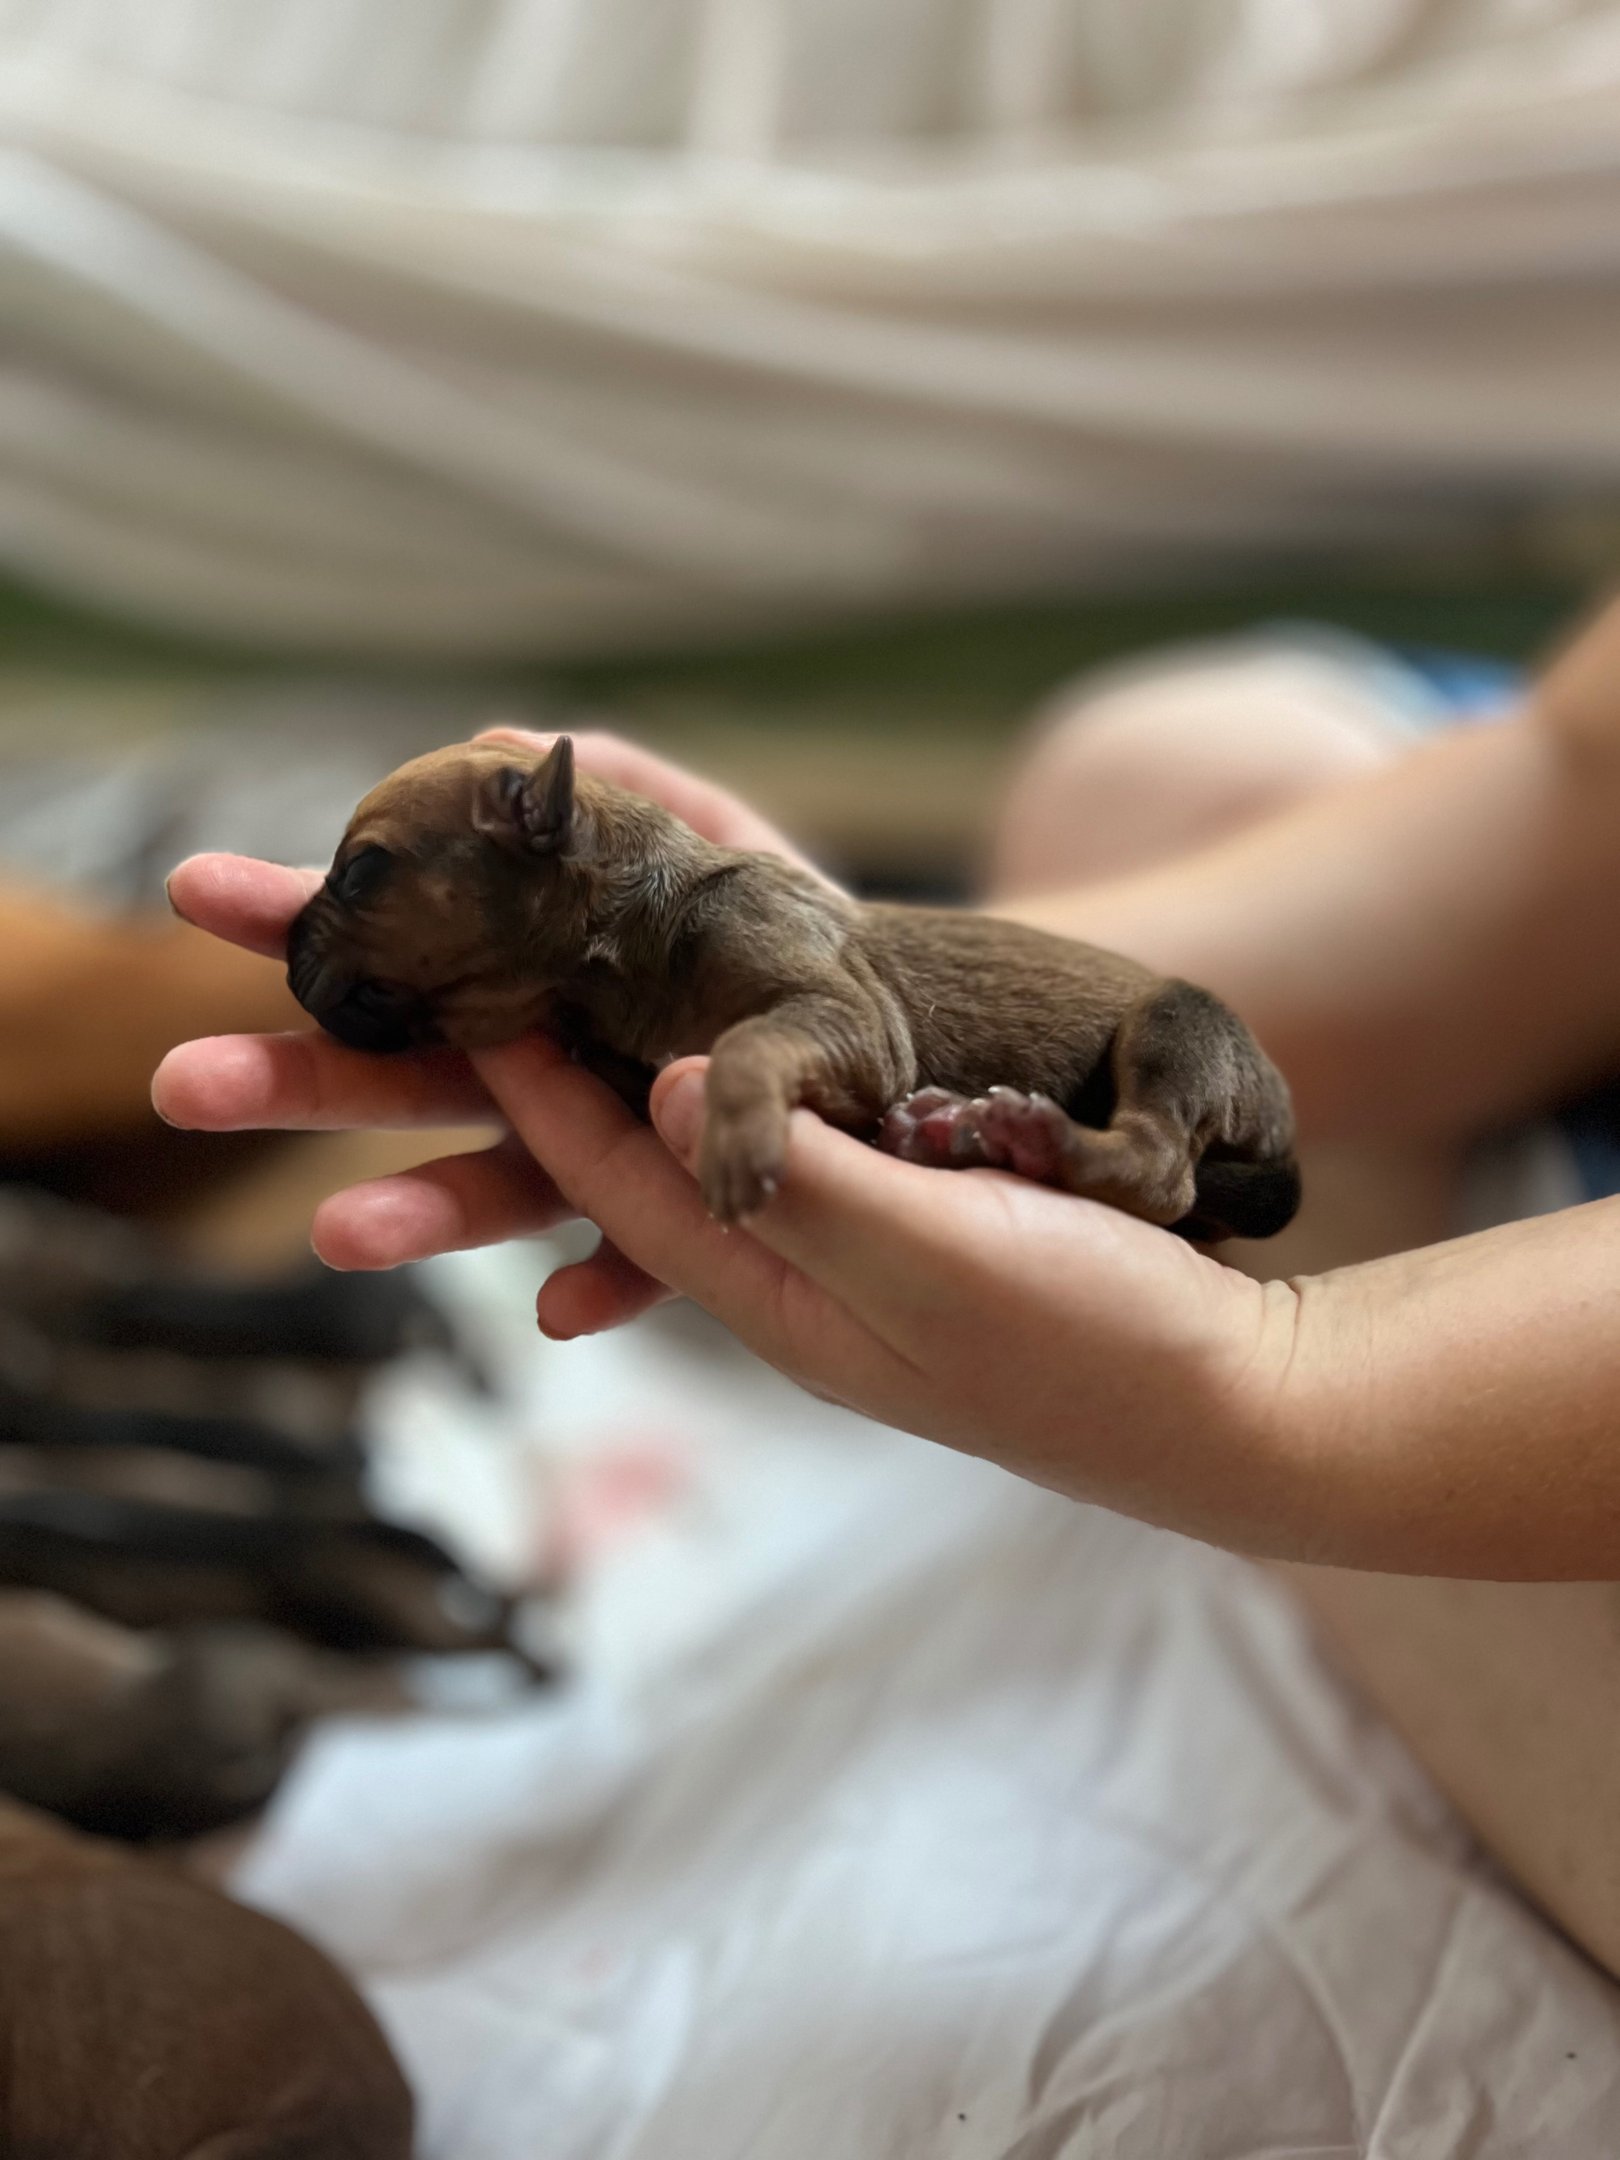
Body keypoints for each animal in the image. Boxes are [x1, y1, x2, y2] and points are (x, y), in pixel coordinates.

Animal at [287, 739, 1300, 1241]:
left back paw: (1026, 1139)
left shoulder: (850, 1018)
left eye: (362, 871)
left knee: (1161, 1169)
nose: (290, 951)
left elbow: (747, 1040)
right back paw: (954, 1136)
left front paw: (737, 1133)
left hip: (1178, 1024)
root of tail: (1281, 1128)